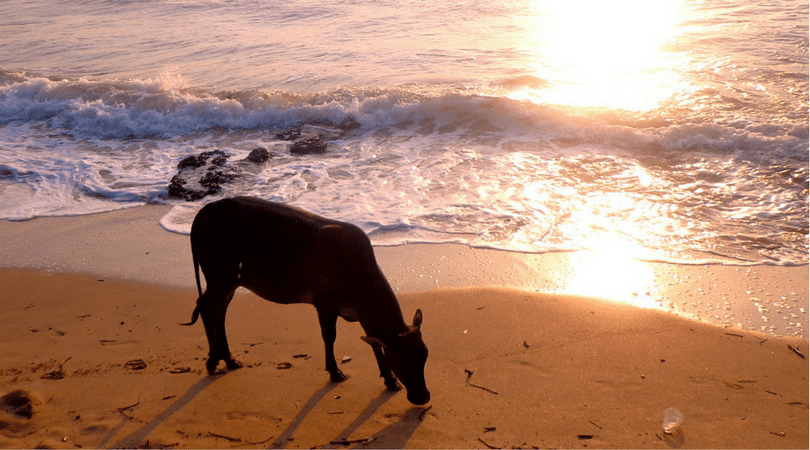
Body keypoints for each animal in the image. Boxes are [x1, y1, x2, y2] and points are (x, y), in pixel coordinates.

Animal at [183, 196, 430, 405]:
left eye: (424, 355)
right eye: (401, 359)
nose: (423, 397)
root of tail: (203, 211)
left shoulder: (362, 314)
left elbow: (374, 344)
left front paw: (389, 380)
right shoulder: (325, 304)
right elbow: (330, 337)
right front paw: (335, 372)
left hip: (230, 282)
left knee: (218, 312)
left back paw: (229, 359)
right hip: (220, 277)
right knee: (205, 307)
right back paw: (213, 360)